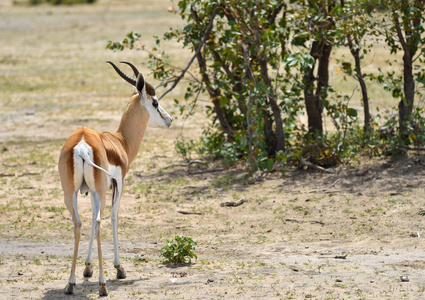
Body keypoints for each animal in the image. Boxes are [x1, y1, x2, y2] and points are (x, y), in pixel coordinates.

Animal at [57, 61, 171, 296]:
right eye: (155, 102)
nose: (169, 120)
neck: (120, 142)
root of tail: (81, 145)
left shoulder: (90, 192)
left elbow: (92, 219)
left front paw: (87, 268)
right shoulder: (118, 185)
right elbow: (113, 219)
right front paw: (119, 269)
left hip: (71, 193)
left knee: (79, 222)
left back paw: (70, 284)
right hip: (99, 190)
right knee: (100, 222)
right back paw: (102, 286)